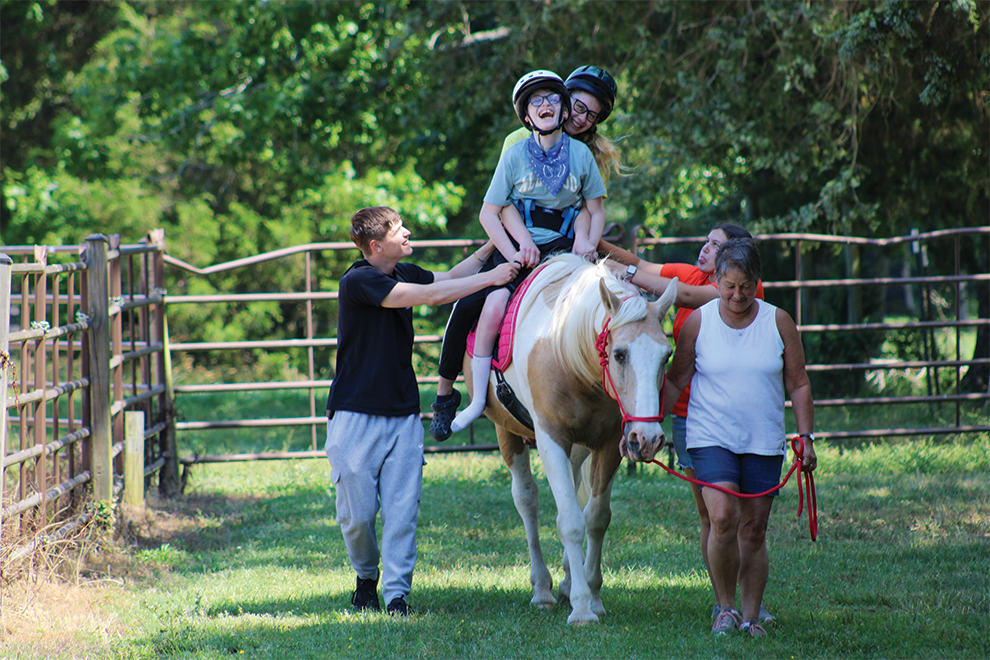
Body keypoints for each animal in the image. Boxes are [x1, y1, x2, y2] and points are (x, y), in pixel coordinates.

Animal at [468, 253, 680, 624]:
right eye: (619, 353)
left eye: (665, 355)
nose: (648, 439)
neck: (565, 350)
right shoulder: (551, 439)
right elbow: (569, 522)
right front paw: (582, 608)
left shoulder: (610, 444)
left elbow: (595, 518)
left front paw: (592, 594)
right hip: (507, 432)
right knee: (527, 500)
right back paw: (543, 589)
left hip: (580, 448)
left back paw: (568, 579)